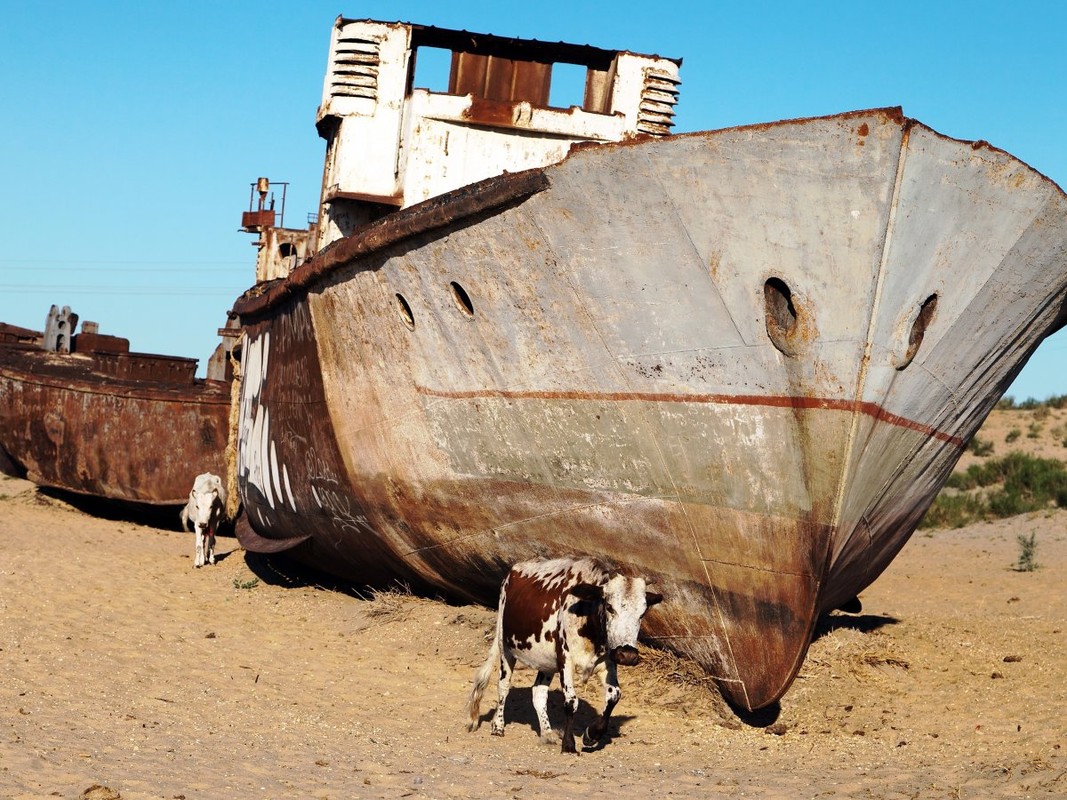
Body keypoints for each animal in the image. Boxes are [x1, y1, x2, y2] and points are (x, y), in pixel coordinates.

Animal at [465, 558, 657, 755]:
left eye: (642, 613)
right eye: (610, 607)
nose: (627, 654)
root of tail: (514, 570)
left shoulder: (608, 661)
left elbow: (614, 695)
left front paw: (592, 734)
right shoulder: (566, 660)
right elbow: (571, 702)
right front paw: (569, 744)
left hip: (546, 663)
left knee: (539, 692)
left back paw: (547, 733)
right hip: (506, 648)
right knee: (503, 686)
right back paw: (498, 726)